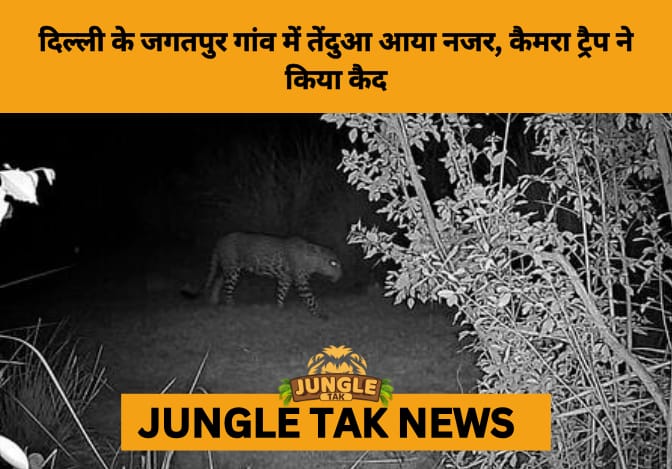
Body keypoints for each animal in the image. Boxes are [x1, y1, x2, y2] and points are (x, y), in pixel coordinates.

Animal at [181, 232, 342, 317]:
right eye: (333, 263)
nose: (341, 274)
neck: (311, 260)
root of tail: (221, 239)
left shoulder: (285, 278)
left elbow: (281, 293)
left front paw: (279, 308)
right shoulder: (300, 281)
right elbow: (310, 298)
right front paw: (320, 314)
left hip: (225, 268)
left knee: (217, 281)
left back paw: (214, 301)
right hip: (232, 270)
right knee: (227, 288)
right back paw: (230, 305)